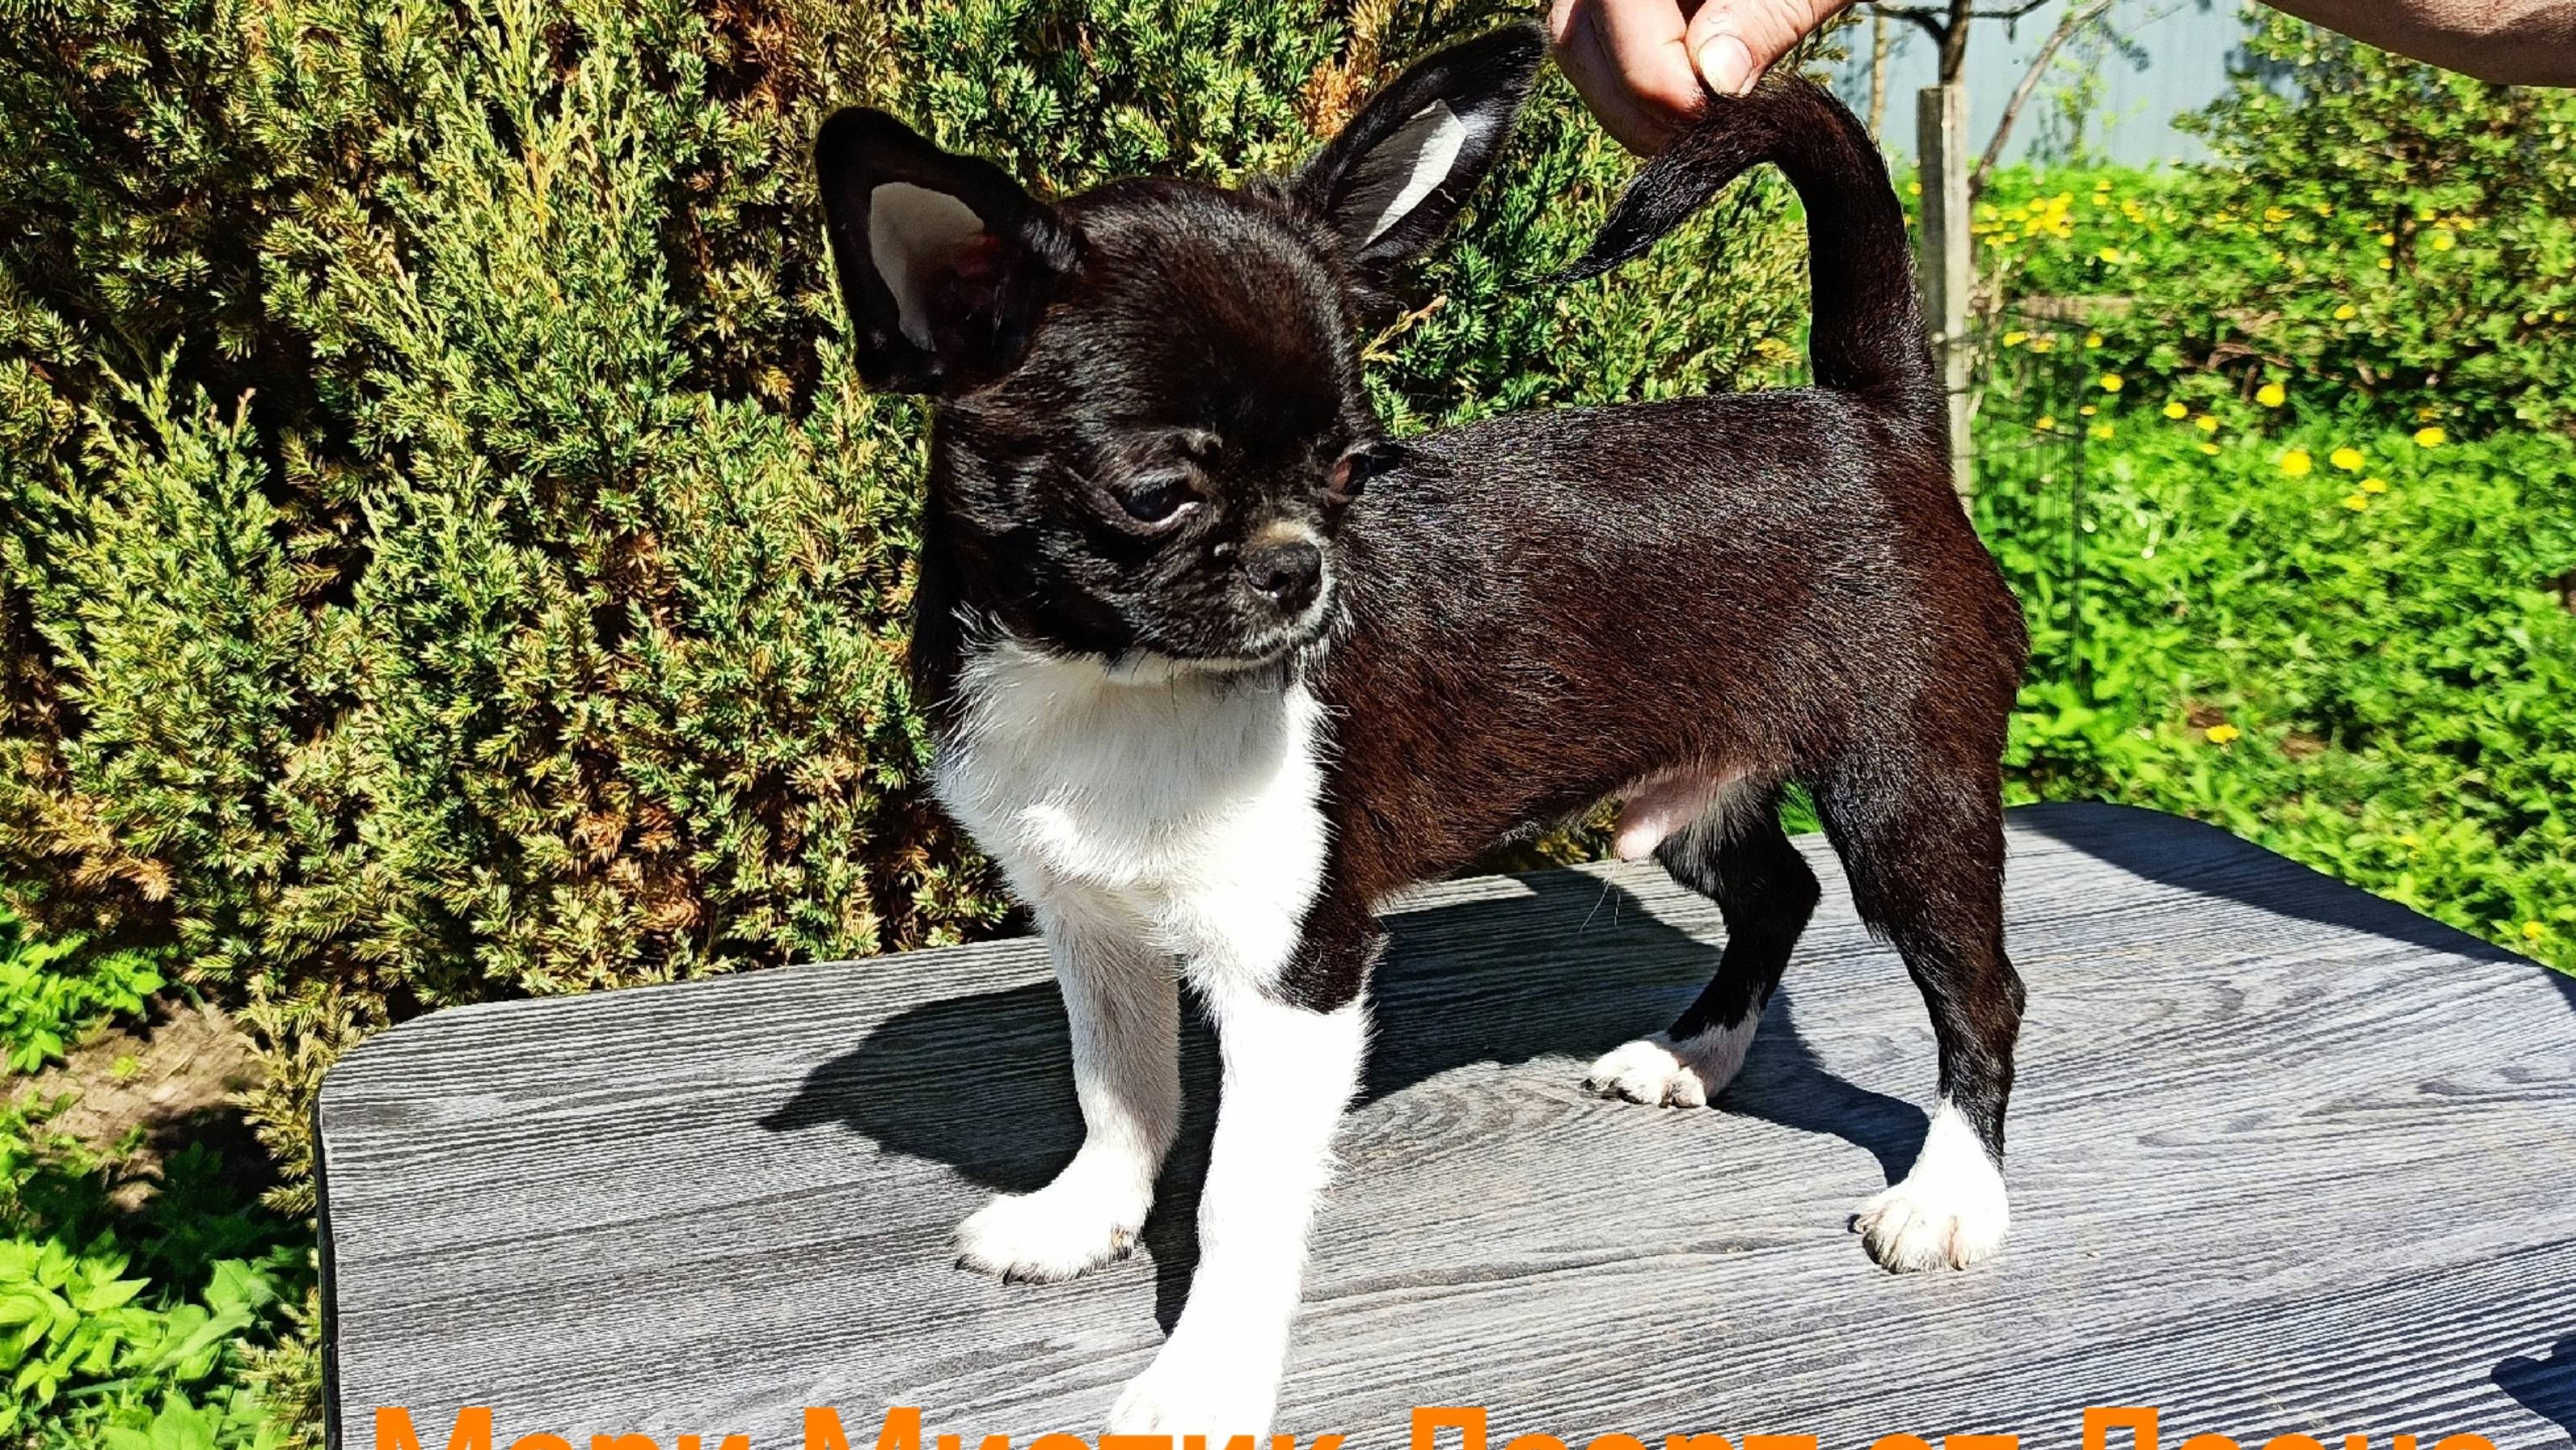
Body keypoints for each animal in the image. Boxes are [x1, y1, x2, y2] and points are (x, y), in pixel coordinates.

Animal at [814, 23, 2028, 1434]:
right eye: (1157, 494)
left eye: (1350, 471)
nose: (1301, 567)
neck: (1121, 683)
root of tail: (1872, 418)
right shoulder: (1094, 925)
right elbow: (1117, 1093)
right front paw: (1085, 1220)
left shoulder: (1298, 974)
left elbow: (1238, 1203)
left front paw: (1207, 1375)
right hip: (1698, 799)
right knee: (1778, 891)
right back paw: (1695, 1054)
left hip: (1904, 795)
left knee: (1979, 991)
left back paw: (1953, 1194)